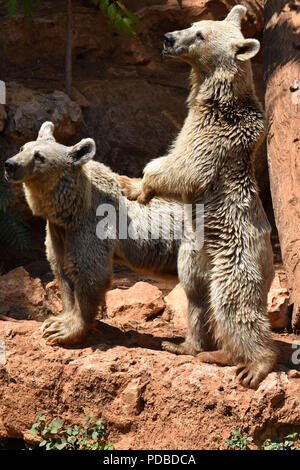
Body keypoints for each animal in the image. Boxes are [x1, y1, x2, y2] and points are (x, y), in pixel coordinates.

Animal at [120, 4, 276, 390]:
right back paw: (190, 346)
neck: (217, 97)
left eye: (200, 34)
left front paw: (138, 186)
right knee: (197, 300)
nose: (168, 37)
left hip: (235, 258)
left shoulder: (214, 135)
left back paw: (254, 365)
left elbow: (184, 167)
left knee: (234, 305)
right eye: (192, 24)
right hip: (195, 255)